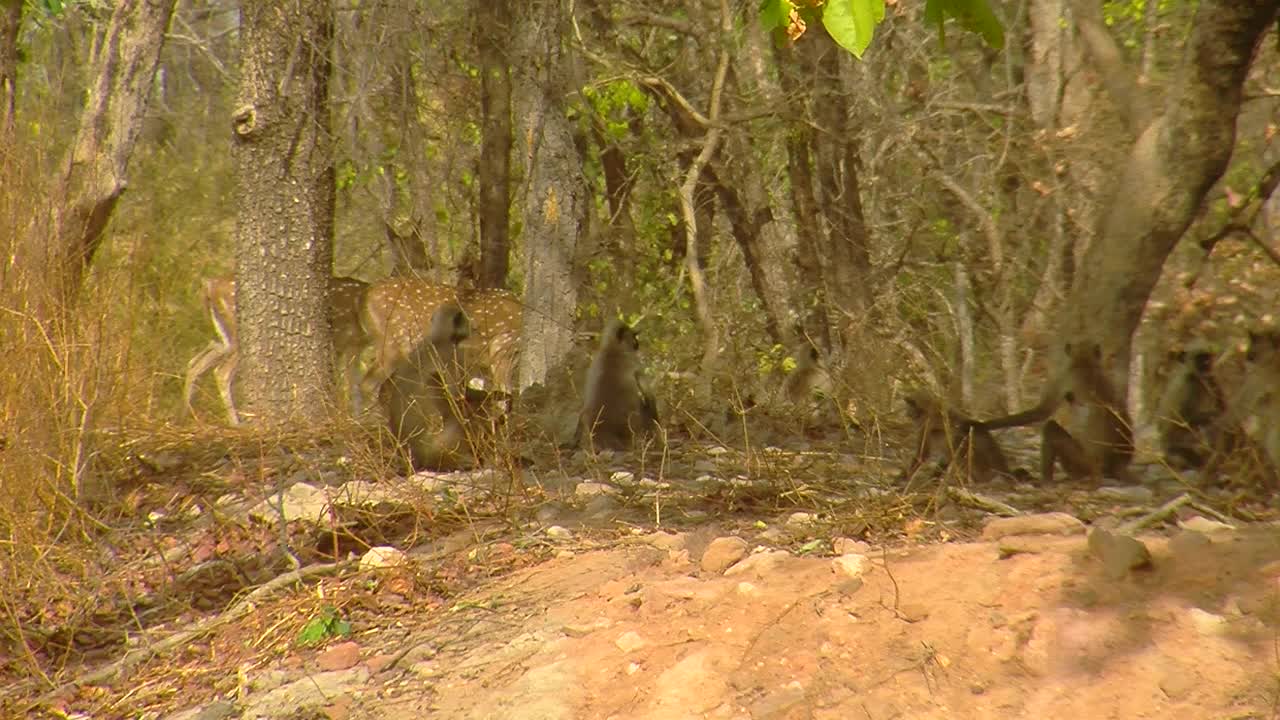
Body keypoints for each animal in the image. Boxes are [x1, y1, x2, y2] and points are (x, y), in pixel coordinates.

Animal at [185, 272, 373, 420]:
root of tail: (210, 285)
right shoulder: (348, 342)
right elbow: (351, 385)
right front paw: (354, 420)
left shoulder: (350, 346)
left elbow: (353, 383)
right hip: (239, 336)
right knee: (221, 372)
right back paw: (236, 422)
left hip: (224, 338)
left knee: (195, 362)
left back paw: (187, 414)